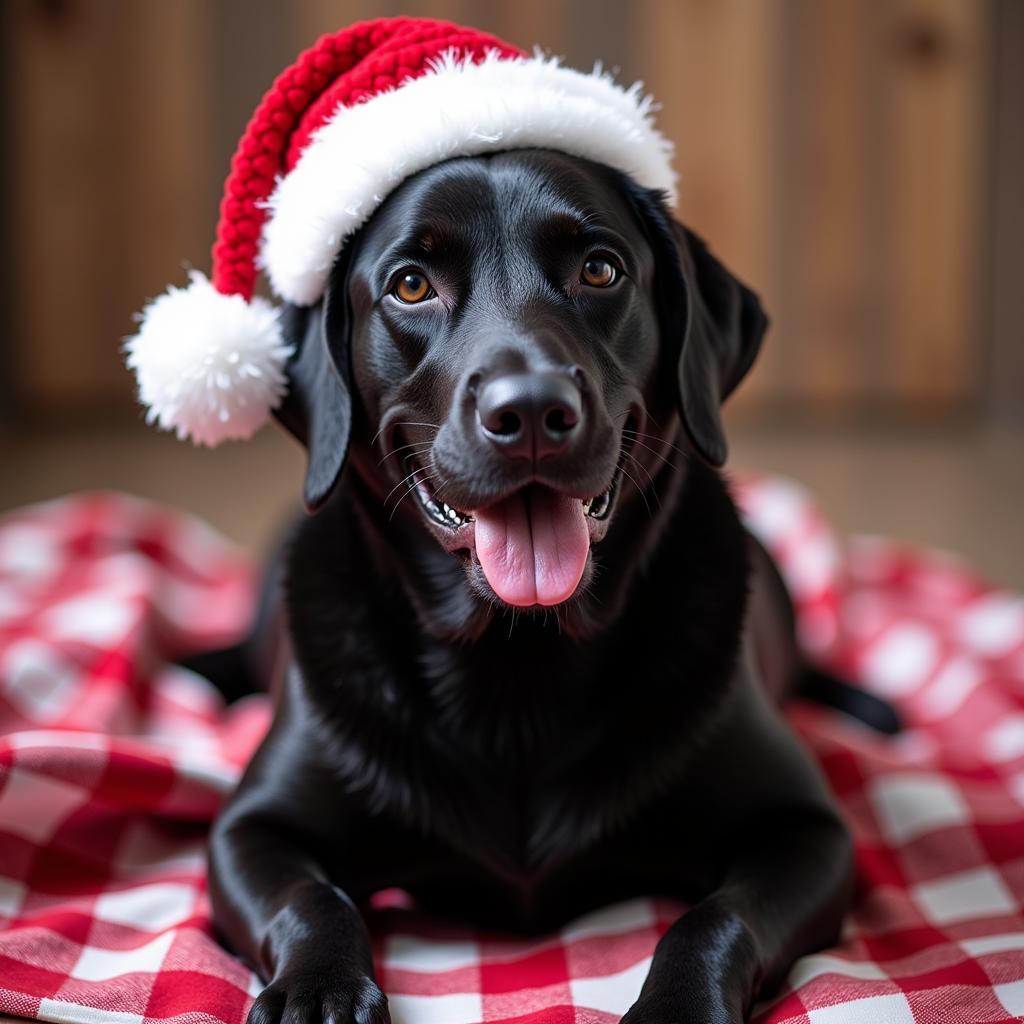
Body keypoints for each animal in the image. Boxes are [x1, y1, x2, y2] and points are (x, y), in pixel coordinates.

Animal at [203, 149, 860, 1024]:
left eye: (600, 269)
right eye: (410, 285)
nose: (533, 411)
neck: (516, 660)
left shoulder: (807, 829)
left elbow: (716, 916)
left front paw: (677, 1005)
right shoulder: (252, 828)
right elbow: (313, 900)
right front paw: (319, 990)